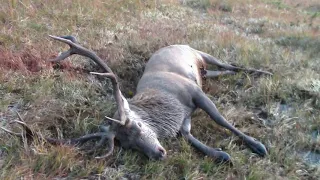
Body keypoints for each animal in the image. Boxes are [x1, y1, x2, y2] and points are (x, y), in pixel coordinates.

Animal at [0, 35, 272, 163]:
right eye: (126, 145)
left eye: (138, 125)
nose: (158, 154)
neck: (172, 102)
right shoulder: (185, 117)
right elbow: (188, 136)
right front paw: (221, 156)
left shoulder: (196, 94)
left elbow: (222, 121)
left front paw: (258, 146)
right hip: (205, 70)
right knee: (221, 71)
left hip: (201, 53)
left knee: (230, 65)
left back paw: (266, 72)